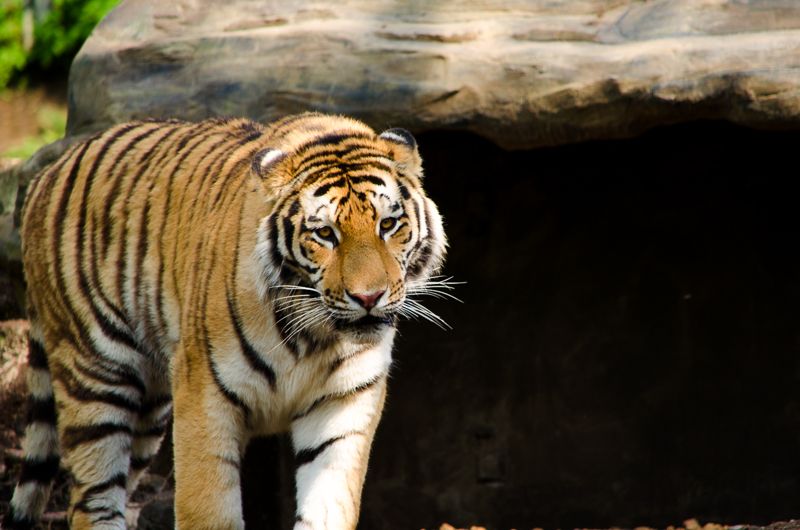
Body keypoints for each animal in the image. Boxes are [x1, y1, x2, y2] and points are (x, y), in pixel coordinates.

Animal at [3, 112, 449, 529]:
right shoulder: (204, 400)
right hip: (95, 376)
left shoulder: (345, 405)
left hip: (149, 407)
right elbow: (208, 509)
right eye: (324, 234)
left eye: (388, 224)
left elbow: (329, 508)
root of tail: (46, 172)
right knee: (90, 502)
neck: (315, 336)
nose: (368, 298)